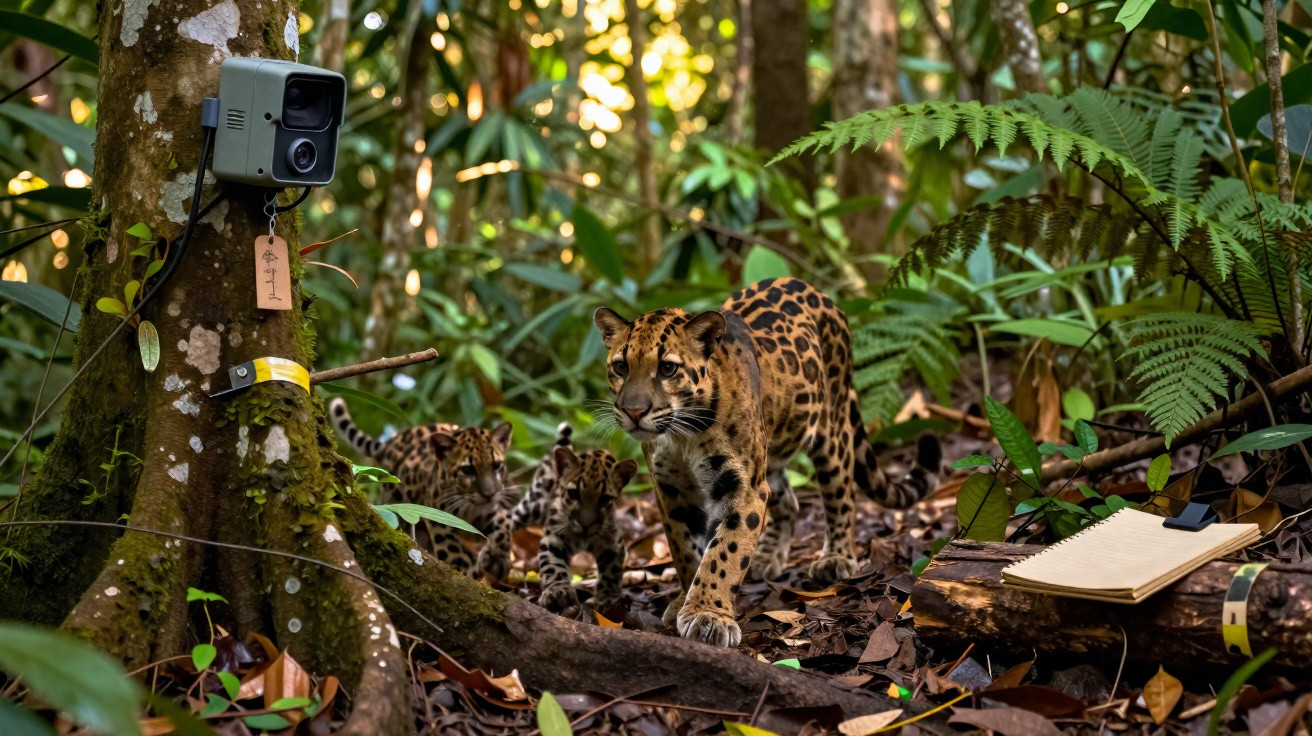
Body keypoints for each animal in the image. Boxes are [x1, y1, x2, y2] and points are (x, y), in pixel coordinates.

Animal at [329, 397, 517, 580]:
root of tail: (392, 440)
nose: (490, 494)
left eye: (497, 466)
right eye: (468, 470)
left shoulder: (493, 509)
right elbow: (451, 547)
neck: (470, 508)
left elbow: (503, 524)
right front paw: (466, 571)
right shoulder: (439, 516)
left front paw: (497, 558)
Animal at [512, 423, 638, 615]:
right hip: (531, 506)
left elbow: (612, 570)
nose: (586, 524)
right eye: (573, 493)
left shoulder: (612, 542)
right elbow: (553, 565)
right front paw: (558, 591)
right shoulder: (554, 537)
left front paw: (606, 598)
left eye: (605, 499)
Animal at [593, 277, 932, 647]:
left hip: (831, 429)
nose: (633, 411)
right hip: (770, 454)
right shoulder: (671, 490)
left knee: (840, 490)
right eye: (620, 367)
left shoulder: (742, 485)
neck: (683, 435)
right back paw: (767, 556)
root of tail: (814, 290)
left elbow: (724, 552)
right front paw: (685, 600)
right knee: (789, 499)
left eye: (668, 368)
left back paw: (836, 557)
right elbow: (684, 549)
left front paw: (708, 615)